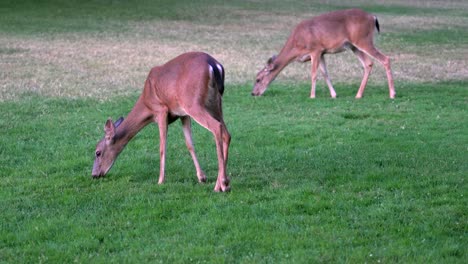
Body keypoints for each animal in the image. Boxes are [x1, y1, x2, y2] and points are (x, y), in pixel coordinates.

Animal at [91, 51, 230, 192]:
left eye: (98, 152)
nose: (94, 175)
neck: (146, 103)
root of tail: (213, 65)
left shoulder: (161, 110)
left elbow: (162, 146)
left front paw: (160, 180)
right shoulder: (183, 114)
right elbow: (189, 144)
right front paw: (202, 177)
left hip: (193, 103)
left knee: (216, 127)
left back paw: (221, 184)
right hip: (215, 103)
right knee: (227, 134)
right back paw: (223, 184)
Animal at [252, 8, 394, 99]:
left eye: (258, 79)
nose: (253, 93)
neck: (297, 45)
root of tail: (373, 17)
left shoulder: (315, 49)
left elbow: (314, 74)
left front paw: (312, 96)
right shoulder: (322, 53)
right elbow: (325, 73)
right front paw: (334, 95)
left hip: (363, 40)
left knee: (385, 59)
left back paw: (392, 94)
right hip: (354, 46)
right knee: (368, 63)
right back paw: (358, 95)